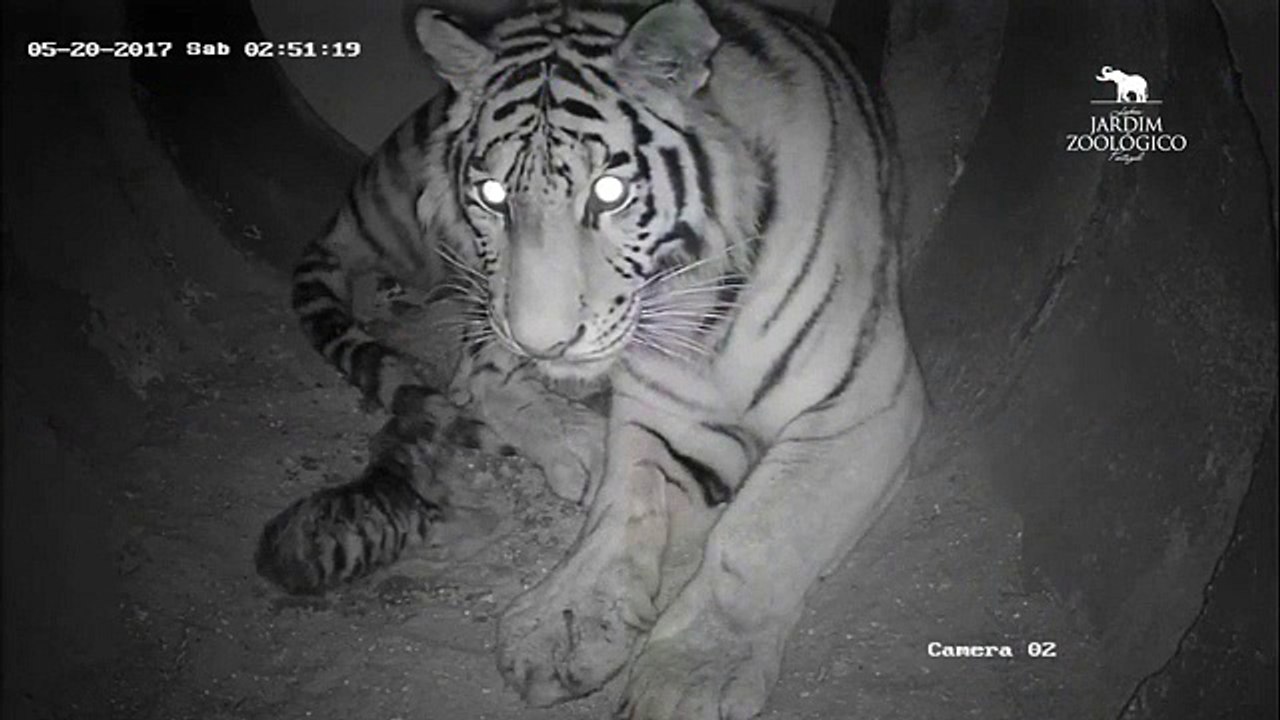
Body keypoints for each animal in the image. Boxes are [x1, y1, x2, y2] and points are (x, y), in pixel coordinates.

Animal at [254, 1, 925, 718]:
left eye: (608, 193)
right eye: (492, 194)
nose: (543, 341)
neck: (696, 304)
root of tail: (355, 201)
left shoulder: (862, 402)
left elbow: (759, 531)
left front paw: (689, 674)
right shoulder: (664, 407)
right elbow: (623, 503)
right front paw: (564, 623)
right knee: (473, 376)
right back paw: (579, 444)